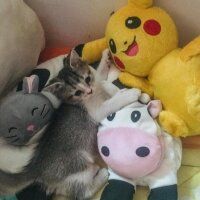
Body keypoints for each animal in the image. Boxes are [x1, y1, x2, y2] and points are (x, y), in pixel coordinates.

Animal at [0, 49, 141, 199]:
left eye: (87, 79)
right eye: (77, 92)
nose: (90, 91)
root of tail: (35, 168)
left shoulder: (97, 82)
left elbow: (99, 75)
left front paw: (105, 57)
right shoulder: (96, 111)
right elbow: (111, 103)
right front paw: (129, 95)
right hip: (77, 169)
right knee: (83, 192)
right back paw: (101, 175)